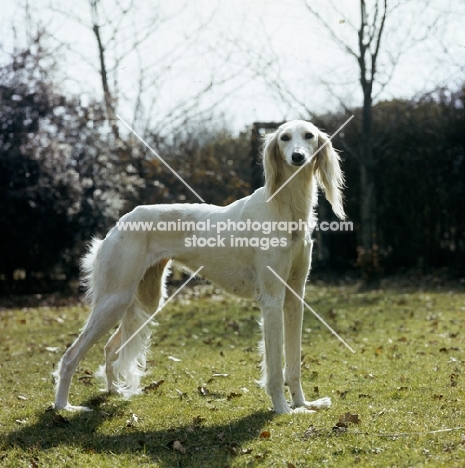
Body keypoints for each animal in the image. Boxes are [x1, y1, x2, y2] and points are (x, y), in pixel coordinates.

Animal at [54, 119, 344, 414]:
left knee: (110, 349)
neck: (285, 210)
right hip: (115, 299)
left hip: (144, 300)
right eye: (284, 137)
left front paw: (303, 403)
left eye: (308, 136)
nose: (298, 157)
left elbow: (294, 363)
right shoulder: (272, 299)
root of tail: (119, 223)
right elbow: (275, 367)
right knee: (70, 356)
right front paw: (283, 409)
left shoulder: (294, 297)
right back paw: (63, 406)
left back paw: (113, 391)